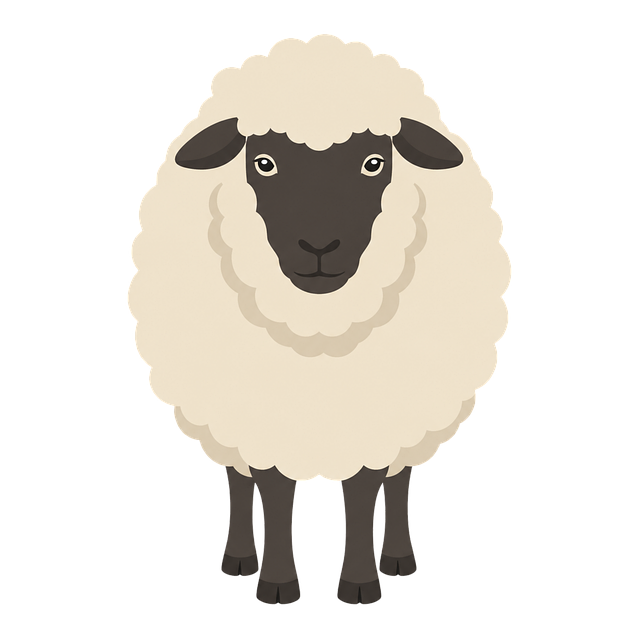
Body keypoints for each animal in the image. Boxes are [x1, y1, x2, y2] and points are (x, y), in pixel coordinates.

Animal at [127, 33, 512, 606]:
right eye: (263, 162)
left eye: (374, 162)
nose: (319, 248)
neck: (319, 331)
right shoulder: (256, 415)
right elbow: (272, 489)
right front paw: (277, 582)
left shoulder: (379, 415)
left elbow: (364, 491)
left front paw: (360, 582)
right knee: (237, 481)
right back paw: (238, 557)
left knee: (400, 481)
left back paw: (399, 557)